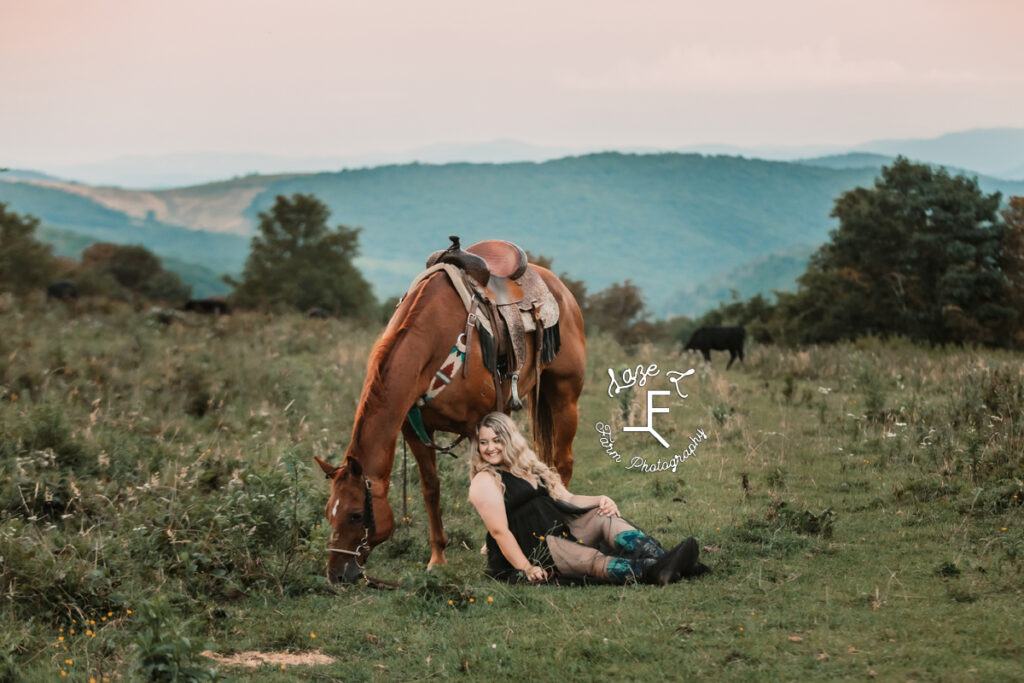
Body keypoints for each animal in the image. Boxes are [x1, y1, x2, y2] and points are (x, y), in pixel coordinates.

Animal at [311, 264, 585, 585]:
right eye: (329, 513)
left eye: (356, 514)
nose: (336, 574)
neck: (431, 340)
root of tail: (561, 291)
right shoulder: (415, 431)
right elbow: (431, 487)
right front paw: (437, 559)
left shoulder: (476, 426)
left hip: (564, 396)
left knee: (562, 462)